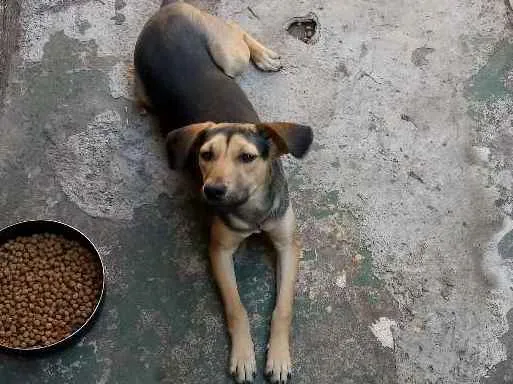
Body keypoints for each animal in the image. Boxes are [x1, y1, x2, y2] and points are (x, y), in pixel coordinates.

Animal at [133, 1, 312, 382]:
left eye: (247, 157)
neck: (252, 210)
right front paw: (244, 355)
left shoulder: (288, 245)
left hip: (230, 58)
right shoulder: (219, 251)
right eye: (205, 155)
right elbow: (237, 308)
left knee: (236, 30)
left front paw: (279, 357)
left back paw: (265, 56)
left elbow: (283, 309)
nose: (212, 191)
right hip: (146, 91)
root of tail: (168, 7)